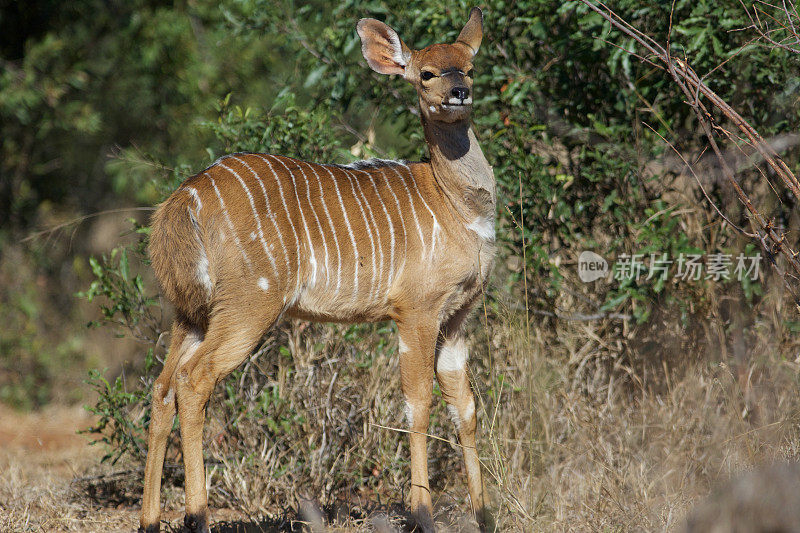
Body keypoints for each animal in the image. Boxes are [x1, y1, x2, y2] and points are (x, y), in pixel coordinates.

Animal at [141, 5, 496, 532]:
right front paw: (422, 514)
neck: (457, 204)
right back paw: (196, 515)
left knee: (163, 387)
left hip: (192, 314)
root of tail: (182, 200)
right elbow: (418, 405)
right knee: (193, 379)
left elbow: (466, 407)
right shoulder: (417, 312)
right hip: (248, 307)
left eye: (469, 68)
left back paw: (148, 519)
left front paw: (485, 515)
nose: (459, 93)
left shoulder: (456, 318)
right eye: (426, 73)